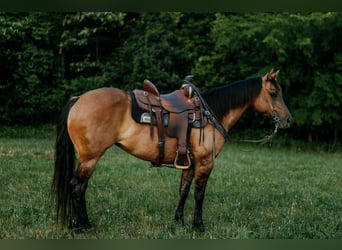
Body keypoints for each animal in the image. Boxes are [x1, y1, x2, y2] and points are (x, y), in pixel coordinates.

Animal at [52, 69, 292, 232]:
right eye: (273, 93)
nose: (288, 120)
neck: (210, 114)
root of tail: (78, 99)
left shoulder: (190, 163)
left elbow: (183, 190)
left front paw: (179, 220)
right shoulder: (205, 162)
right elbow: (199, 194)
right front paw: (198, 225)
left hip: (88, 158)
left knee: (80, 188)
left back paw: (80, 223)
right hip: (90, 158)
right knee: (76, 187)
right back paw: (81, 226)